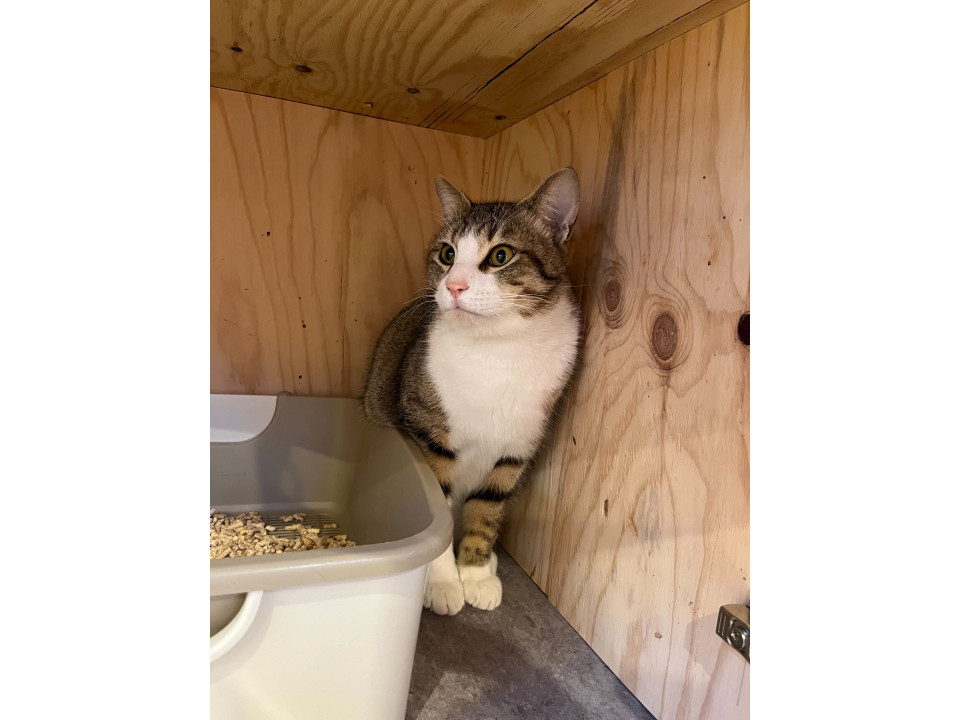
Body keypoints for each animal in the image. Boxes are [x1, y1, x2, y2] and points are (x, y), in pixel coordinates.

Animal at [362, 168, 581, 615]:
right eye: (447, 254)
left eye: (500, 256)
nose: (455, 285)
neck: (496, 348)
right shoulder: (430, 435)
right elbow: (437, 511)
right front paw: (442, 582)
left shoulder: (517, 449)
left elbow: (488, 510)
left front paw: (476, 574)